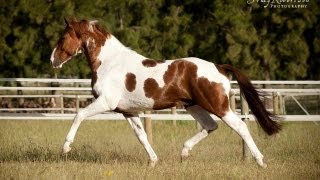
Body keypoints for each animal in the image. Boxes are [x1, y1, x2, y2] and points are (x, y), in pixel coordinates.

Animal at [50, 19, 280, 168]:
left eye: (63, 37)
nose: (53, 60)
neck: (109, 62)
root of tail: (219, 67)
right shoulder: (128, 111)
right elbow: (141, 136)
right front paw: (153, 162)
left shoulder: (106, 102)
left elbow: (79, 115)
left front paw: (65, 148)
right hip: (193, 105)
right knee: (210, 126)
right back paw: (184, 152)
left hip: (219, 106)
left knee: (241, 127)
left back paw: (260, 162)